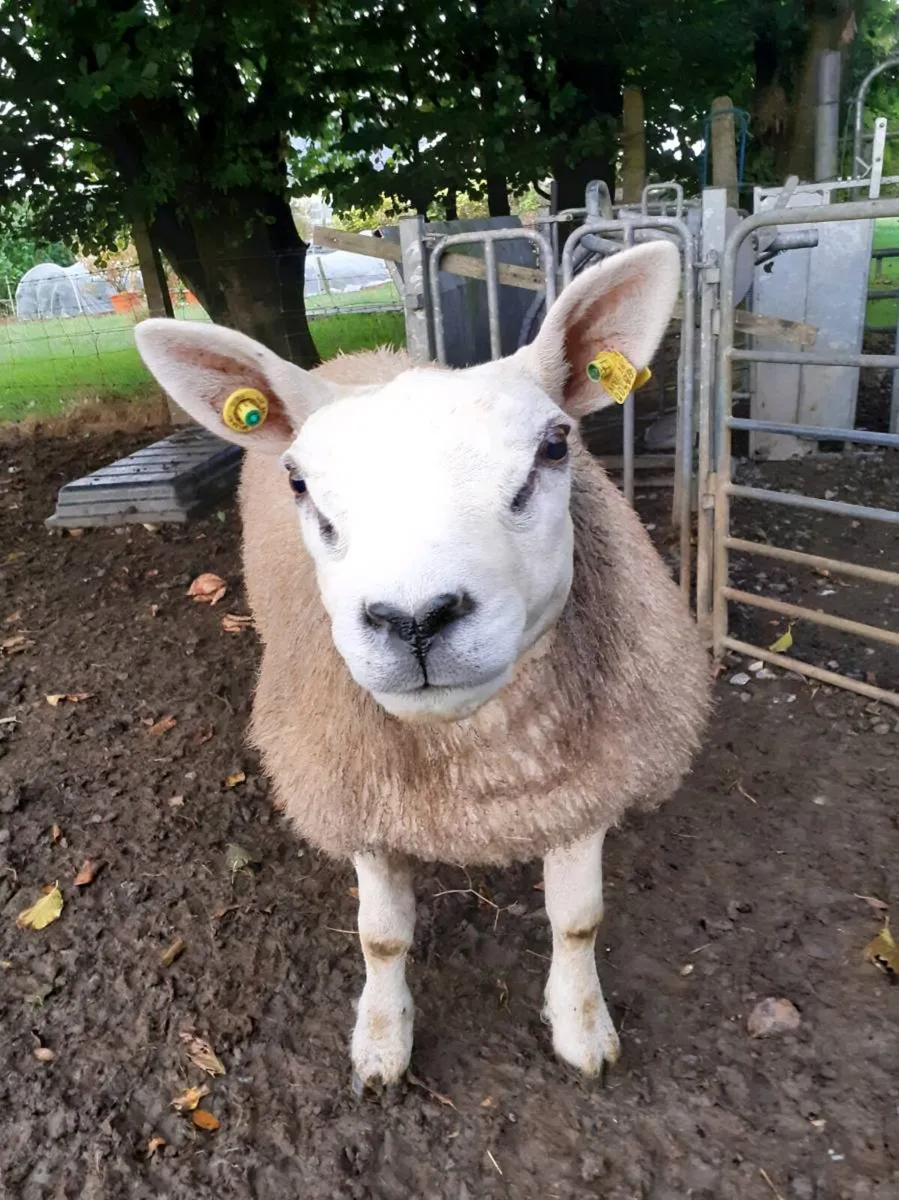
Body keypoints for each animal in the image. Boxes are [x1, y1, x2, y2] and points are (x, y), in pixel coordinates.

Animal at [134, 240, 710, 1090]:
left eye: (554, 446)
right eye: (298, 481)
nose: (413, 620)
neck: (478, 776)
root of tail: (364, 352)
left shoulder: (586, 789)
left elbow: (577, 922)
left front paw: (581, 1027)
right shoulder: (360, 803)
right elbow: (381, 937)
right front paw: (381, 1043)